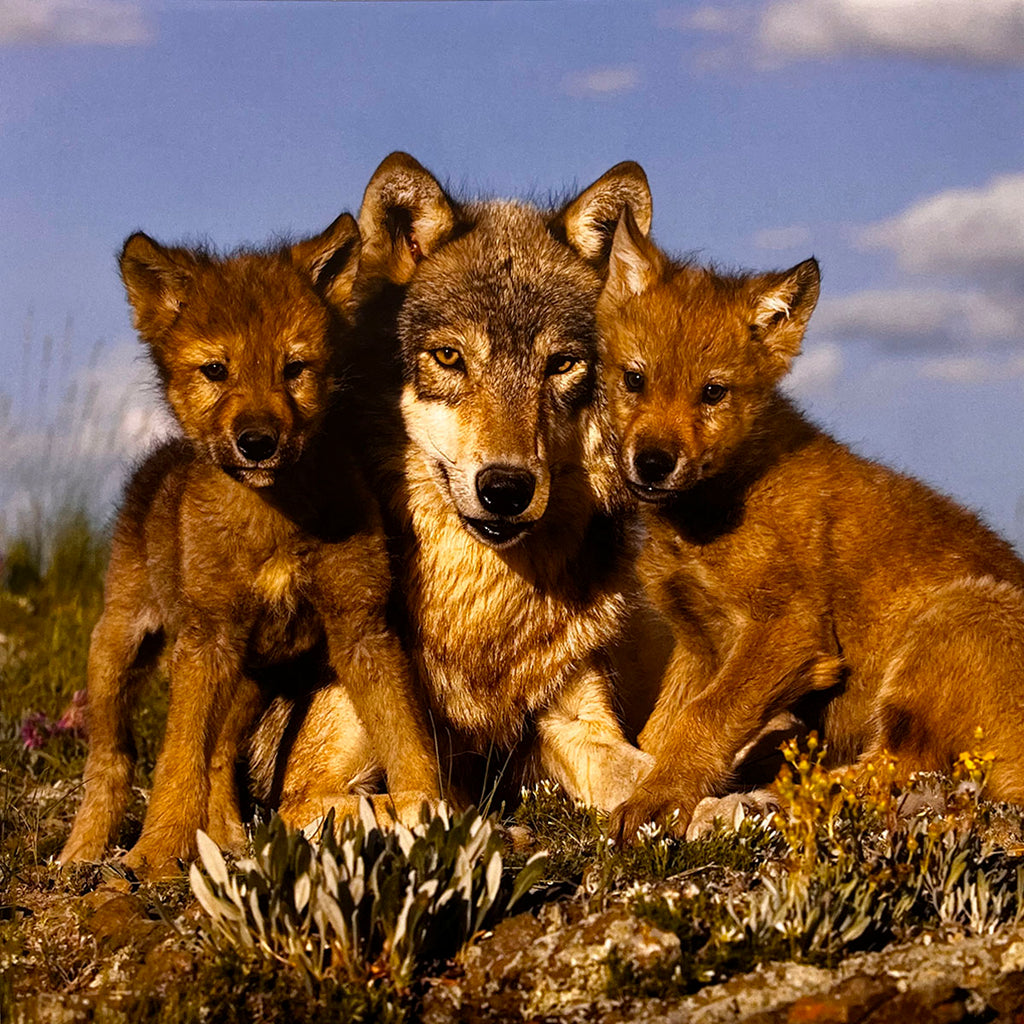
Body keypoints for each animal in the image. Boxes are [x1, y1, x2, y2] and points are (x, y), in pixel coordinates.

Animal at [59, 215, 439, 877]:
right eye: (217, 370)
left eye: (294, 368)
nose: (257, 442)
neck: (274, 524)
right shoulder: (207, 640)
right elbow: (176, 761)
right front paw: (156, 851)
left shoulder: (362, 626)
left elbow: (407, 741)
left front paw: (438, 815)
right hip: (120, 650)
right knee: (112, 761)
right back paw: (82, 855)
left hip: (252, 681)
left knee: (217, 759)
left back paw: (229, 842)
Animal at [274, 153, 659, 812]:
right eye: (450, 357)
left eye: (561, 364)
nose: (505, 488)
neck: (478, 611)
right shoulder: (303, 791)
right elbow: (418, 799)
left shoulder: (575, 722)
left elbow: (658, 770)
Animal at [598, 209, 1024, 838]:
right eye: (634, 380)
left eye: (713, 392)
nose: (652, 462)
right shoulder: (697, 641)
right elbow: (659, 731)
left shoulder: (789, 630)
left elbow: (703, 718)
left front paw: (657, 801)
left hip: (956, 615)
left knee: (902, 771)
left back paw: (775, 795)